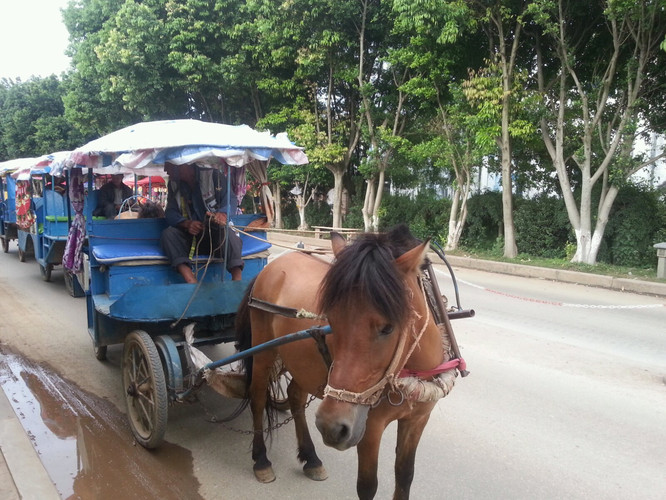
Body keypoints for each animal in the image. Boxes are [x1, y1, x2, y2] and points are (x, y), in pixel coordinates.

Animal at [235, 227, 456, 500]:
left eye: (387, 328)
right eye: (331, 320)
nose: (331, 426)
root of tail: (273, 266)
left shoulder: (417, 420)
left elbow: (405, 475)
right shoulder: (369, 427)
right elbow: (367, 486)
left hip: (301, 363)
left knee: (295, 396)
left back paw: (310, 457)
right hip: (263, 350)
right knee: (257, 397)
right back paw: (261, 459)